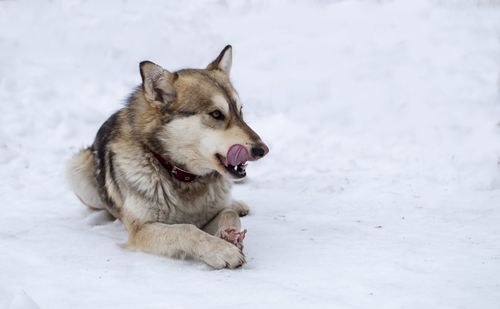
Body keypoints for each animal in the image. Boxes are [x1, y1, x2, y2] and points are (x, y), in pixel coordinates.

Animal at [68, 45, 270, 268]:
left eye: (240, 112)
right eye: (216, 114)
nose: (263, 149)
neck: (183, 176)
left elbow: (228, 213)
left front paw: (228, 235)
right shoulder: (141, 229)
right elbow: (186, 230)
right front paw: (221, 250)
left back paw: (237, 203)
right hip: (76, 169)